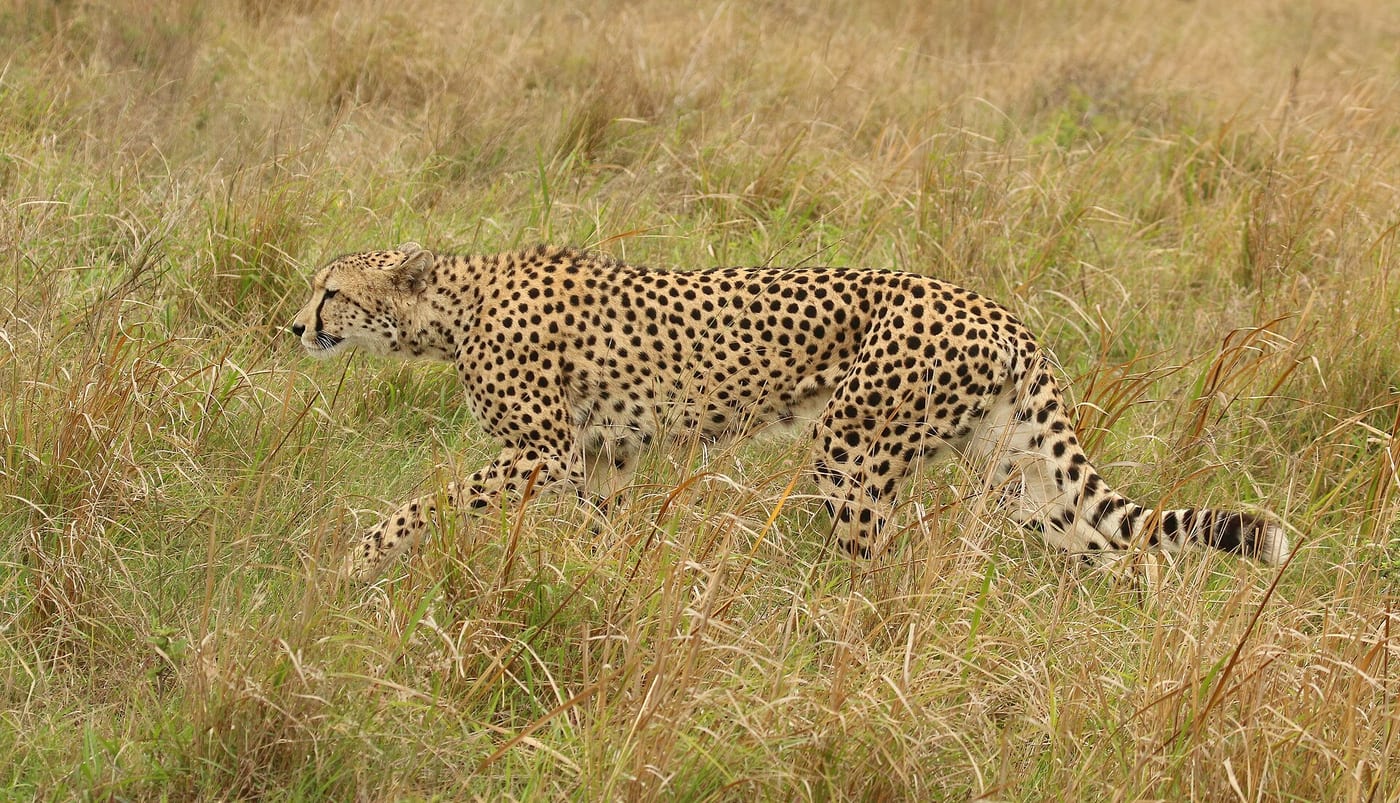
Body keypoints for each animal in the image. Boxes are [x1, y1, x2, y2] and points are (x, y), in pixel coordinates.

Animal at [290, 242, 1290, 581]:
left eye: (331, 288)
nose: (293, 323)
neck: (449, 308)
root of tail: (997, 309)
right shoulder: (605, 458)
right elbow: (604, 535)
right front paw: (600, 593)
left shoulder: (550, 452)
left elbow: (423, 503)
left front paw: (354, 563)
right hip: (1023, 478)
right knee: (1124, 554)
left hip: (852, 450)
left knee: (877, 574)